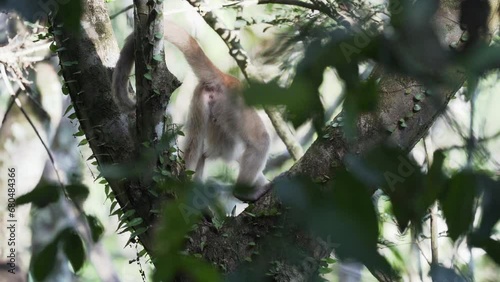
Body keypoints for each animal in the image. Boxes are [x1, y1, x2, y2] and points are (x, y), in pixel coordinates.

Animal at [112, 21, 272, 203]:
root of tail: (226, 79)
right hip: (234, 106)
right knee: (260, 141)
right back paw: (241, 192)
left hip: (204, 103)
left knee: (199, 149)